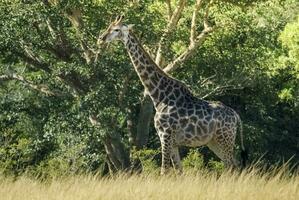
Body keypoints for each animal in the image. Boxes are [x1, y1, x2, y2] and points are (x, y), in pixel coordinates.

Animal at [98, 16, 248, 174]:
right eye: (109, 26)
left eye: (116, 29)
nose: (101, 38)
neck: (158, 96)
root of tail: (236, 116)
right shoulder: (173, 141)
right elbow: (179, 171)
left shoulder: (165, 135)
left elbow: (164, 170)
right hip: (213, 141)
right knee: (234, 164)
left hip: (224, 138)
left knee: (232, 165)